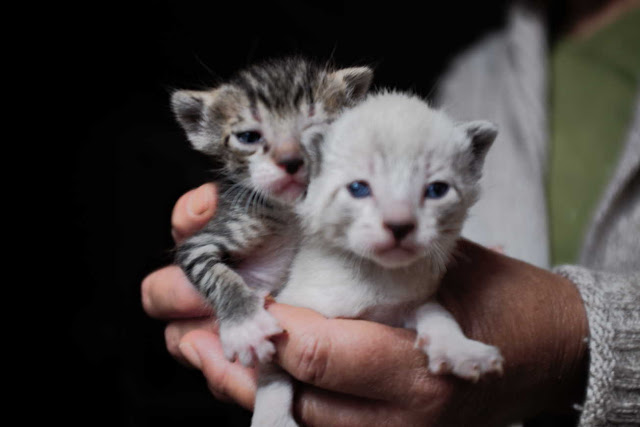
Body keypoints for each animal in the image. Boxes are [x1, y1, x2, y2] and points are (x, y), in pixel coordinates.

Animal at [170, 57, 372, 368]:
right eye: (248, 137)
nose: (291, 160)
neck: (291, 210)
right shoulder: (200, 242)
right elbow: (215, 274)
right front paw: (245, 326)